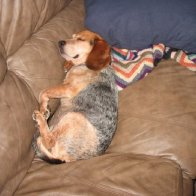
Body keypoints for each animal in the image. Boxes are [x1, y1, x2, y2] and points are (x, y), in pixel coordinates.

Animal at [32, 29, 118, 164]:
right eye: (72, 36)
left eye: (80, 39)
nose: (60, 42)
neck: (83, 65)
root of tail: (67, 159)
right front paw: (45, 110)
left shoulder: (68, 89)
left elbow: (43, 92)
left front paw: (43, 108)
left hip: (74, 116)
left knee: (49, 140)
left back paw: (40, 118)